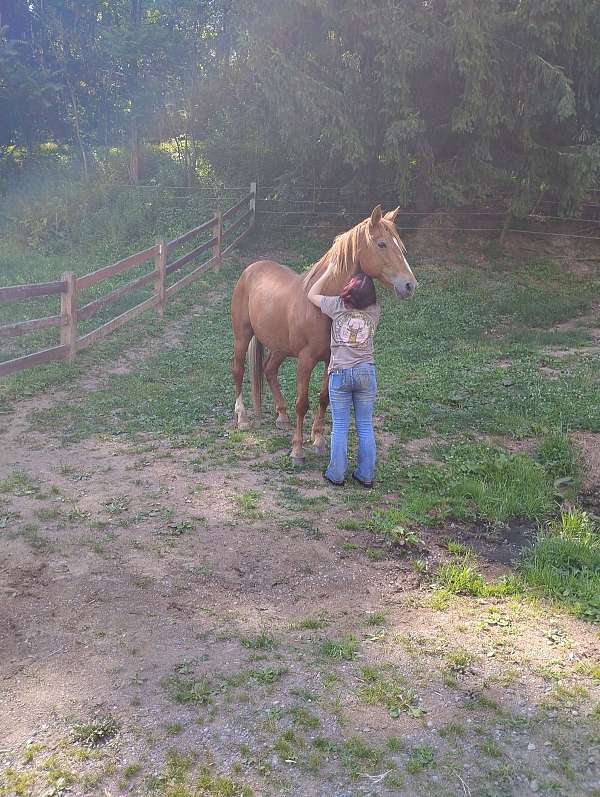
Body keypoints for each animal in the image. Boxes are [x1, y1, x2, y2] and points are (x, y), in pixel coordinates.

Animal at [230, 205, 417, 463]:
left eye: (399, 244)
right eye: (382, 244)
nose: (410, 285)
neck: (320, 303)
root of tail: (250, 269)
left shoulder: (330, 360)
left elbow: (323, 398)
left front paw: (318, 440)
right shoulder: (306, 360)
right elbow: (302, 403)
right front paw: (297, 450)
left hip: (279, 346)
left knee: (269, 370)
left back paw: (281, 416)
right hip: (242, 336)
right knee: (238, 371)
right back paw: (243, 417)